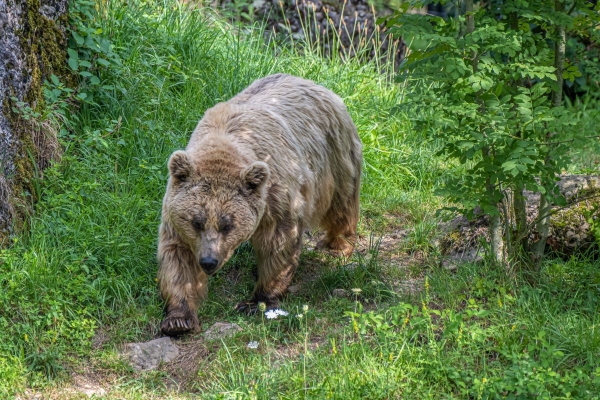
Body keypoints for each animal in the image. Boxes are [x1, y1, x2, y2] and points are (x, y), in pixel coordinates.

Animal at [157, 73, 360, 336]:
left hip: (334, 157)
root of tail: (313, 82)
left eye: (227, 225)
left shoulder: (275, 196)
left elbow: (278, 242)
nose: (209, 261)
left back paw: (337, 245)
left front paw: (256, 301)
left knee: (341, 204)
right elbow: (178, 257)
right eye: (196, 222)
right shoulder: (175, 214)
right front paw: (178, 318)